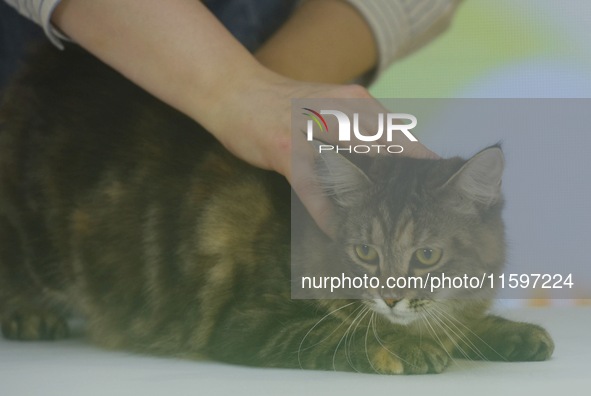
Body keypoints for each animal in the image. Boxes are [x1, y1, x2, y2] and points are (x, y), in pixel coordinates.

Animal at [1, 44, 556, 372]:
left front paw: (503, 331)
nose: (392, 297)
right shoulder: (250, 321)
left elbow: (458, 321)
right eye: (364, 253)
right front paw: (412, 346)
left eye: (426, 256)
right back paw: (28, 315)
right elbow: (344, 333)